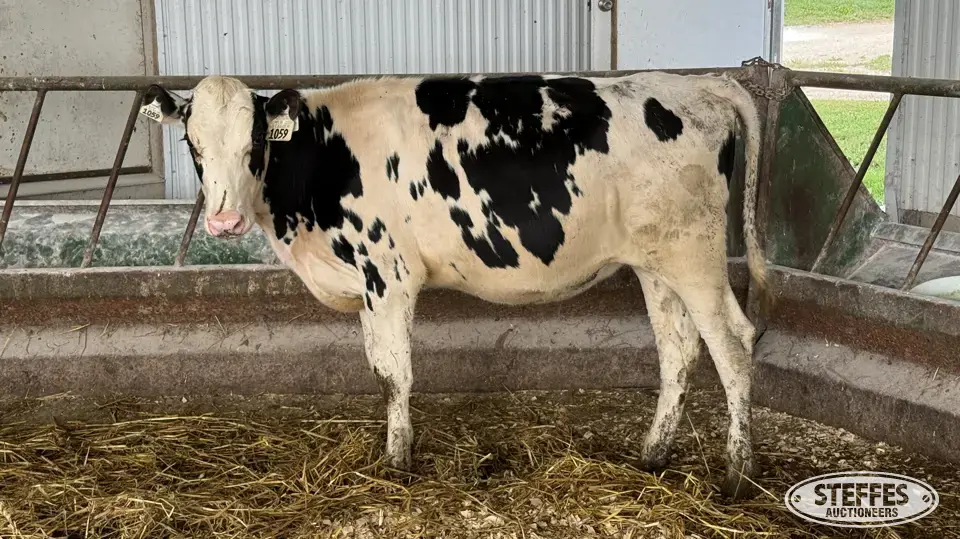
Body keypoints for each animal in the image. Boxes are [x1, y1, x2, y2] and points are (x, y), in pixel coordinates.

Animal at [140, 70, 767, 499]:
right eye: (193, 144)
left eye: (255, 143)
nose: (223, 220)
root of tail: (701, 84)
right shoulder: (367, 286)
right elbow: (379, 368)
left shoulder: (388, 274)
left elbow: (393, 375)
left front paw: (397, 463)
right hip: (656, 264)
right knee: (679, 350)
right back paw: (652, 456)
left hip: (695, 255)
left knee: (734, 345)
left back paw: (737, 476)